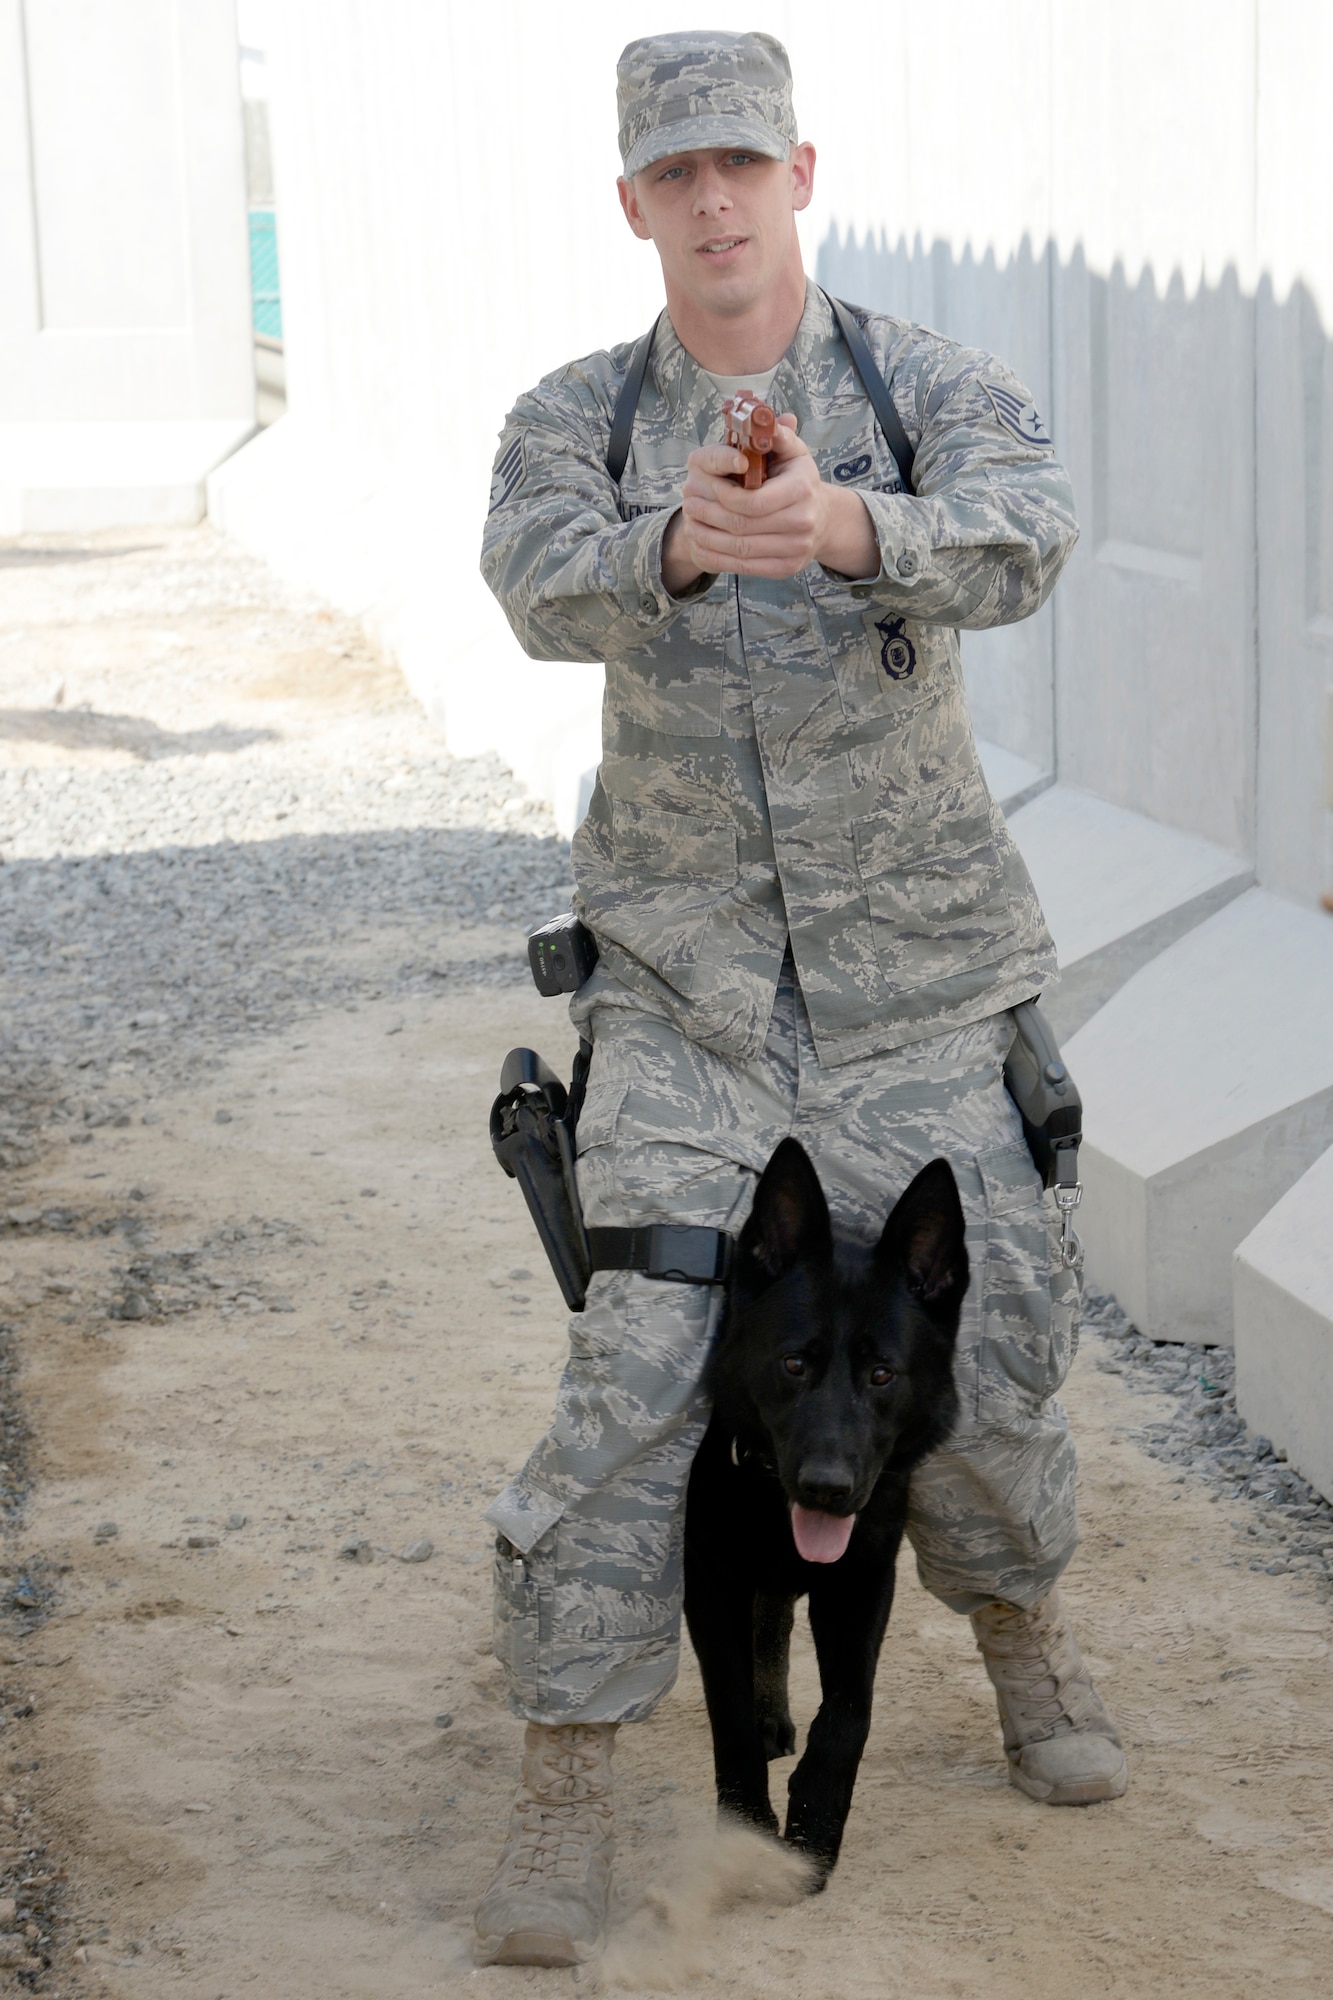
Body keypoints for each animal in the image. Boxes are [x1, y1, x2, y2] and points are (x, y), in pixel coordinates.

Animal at [680, 1136, 960, 1880]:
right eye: (794, 1364)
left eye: (882, 1374)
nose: (827, 1490)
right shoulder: (708, 1580)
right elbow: (729, 1715)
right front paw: (746, 1831)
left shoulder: (863, 1582)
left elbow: (849, 1712)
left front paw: (814, 1825)